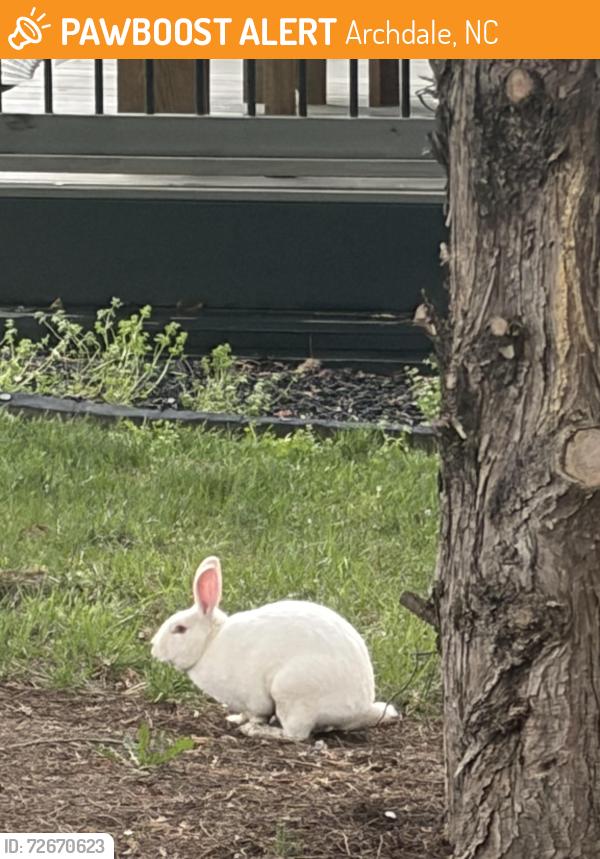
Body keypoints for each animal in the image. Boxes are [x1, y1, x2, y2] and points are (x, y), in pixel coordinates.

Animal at [151, 555, 399, 742]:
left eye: (179, 629)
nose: (154, 648)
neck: (210, 643)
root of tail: (362, 705)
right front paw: (234, 719)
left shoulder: (254, 699)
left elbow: (256, 714)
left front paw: (248, 725)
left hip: (291, 692)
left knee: (296, 735)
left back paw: (257, 731)